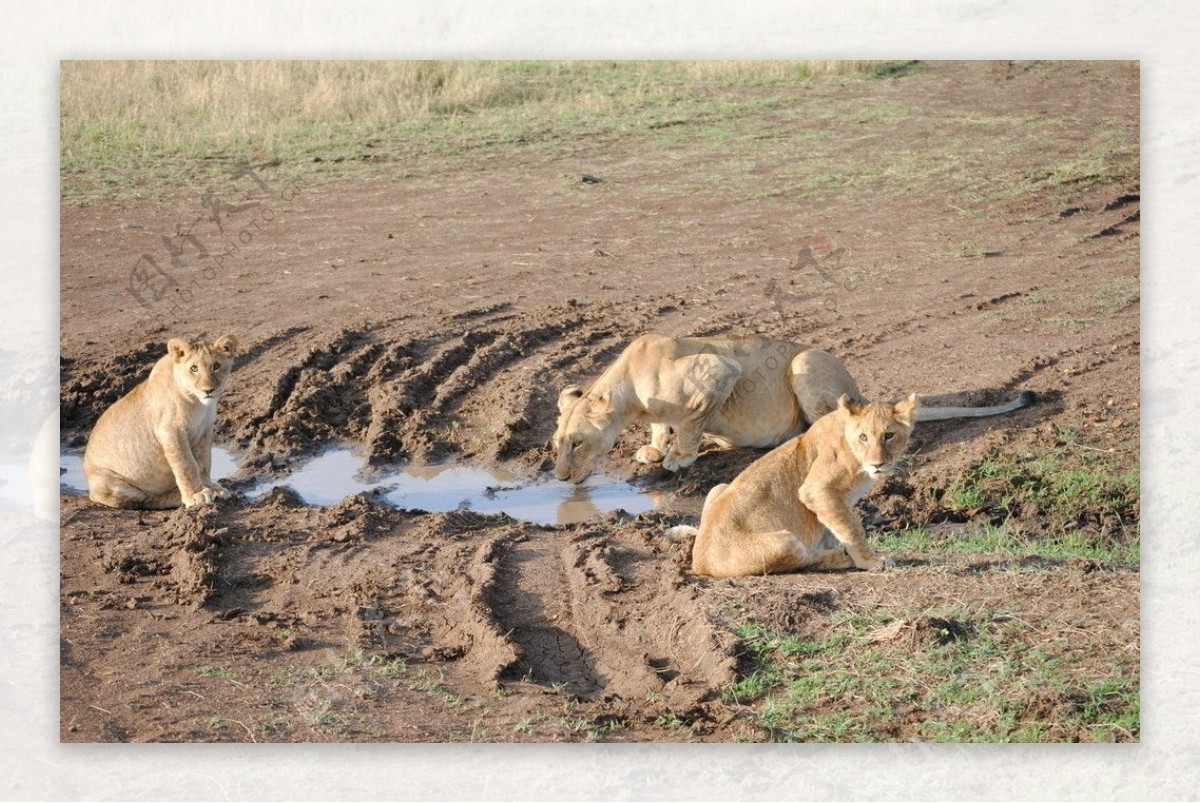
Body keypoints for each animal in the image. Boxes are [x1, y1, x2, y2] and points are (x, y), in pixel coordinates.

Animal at [84, 336, 238, 511]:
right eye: (194, 368)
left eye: (216, 366)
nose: (208, 390)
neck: (199, 404)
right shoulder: (170, 431)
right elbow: (186, 464)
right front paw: (196, 495)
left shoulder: (205, 430)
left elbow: (204, 463)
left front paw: (210, 488)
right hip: (110, 482)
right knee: (146, 500)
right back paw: (179, 497)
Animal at [552, 331, 1032, 482]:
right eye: (558, 442)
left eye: (576, 443)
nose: (558, 477)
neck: (631, 394)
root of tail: (859, 390)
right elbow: (662, 426)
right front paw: (655, 447)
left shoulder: (719, 370)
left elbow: (690, 421)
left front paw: (678, 456)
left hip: (805, 362)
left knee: (831, 426)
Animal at [667, 393, 916, 576]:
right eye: (863, 437)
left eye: (889, 435)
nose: (877, 464)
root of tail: (699, 562)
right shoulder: (816, 490)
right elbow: (851, 528)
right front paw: (869, 560)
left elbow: (834, 527)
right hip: (785, 542)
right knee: (806, 559)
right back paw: (841, 557)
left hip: (718, 486)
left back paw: (684, 531)